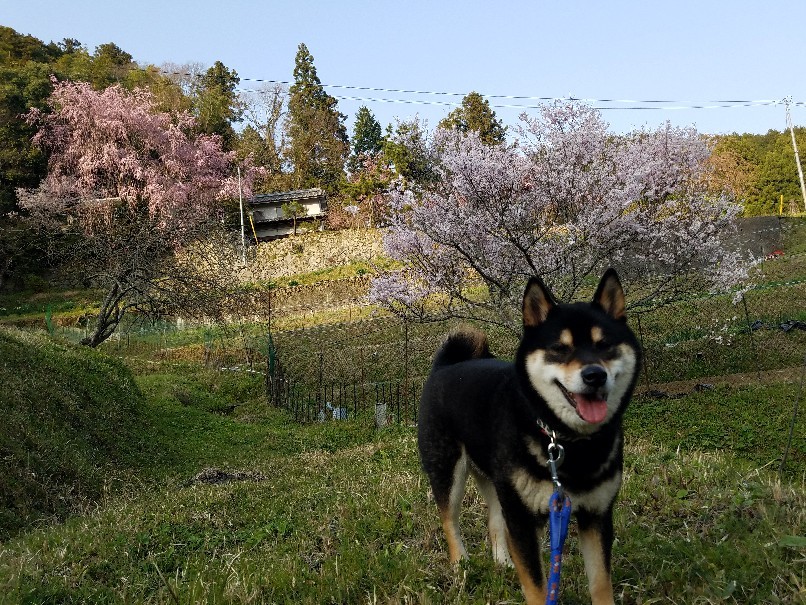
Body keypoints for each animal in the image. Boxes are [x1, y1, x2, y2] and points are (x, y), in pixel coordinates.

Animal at [420, 270, 640, 604]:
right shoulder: (524, 520)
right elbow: (537, 587)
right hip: (448, 470)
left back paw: (503, 562)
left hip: (496, 480)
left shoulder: (597, 514)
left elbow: (601, 583)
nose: (594, 375)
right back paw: (461, 567)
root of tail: (446, 366)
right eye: (560, 348)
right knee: (450, 521)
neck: (563, 439)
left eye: (605, 345)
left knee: (495, 521)